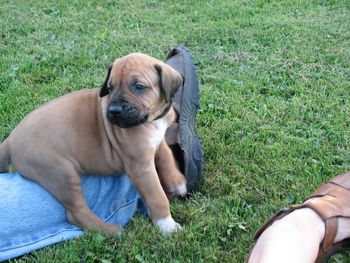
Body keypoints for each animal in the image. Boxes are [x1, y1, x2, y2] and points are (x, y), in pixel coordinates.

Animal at [0, 53, 187, 235]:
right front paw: (166, 224)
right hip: (61, 174)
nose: (114, 111)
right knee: (75, 213)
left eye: (139, 87)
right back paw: (110, 230)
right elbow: (157, 197)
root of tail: (9, 141)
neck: (151, 120)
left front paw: (176, 181)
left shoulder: (156, 141)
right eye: (110, 88)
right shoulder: (140, 167)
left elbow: (165, 154)